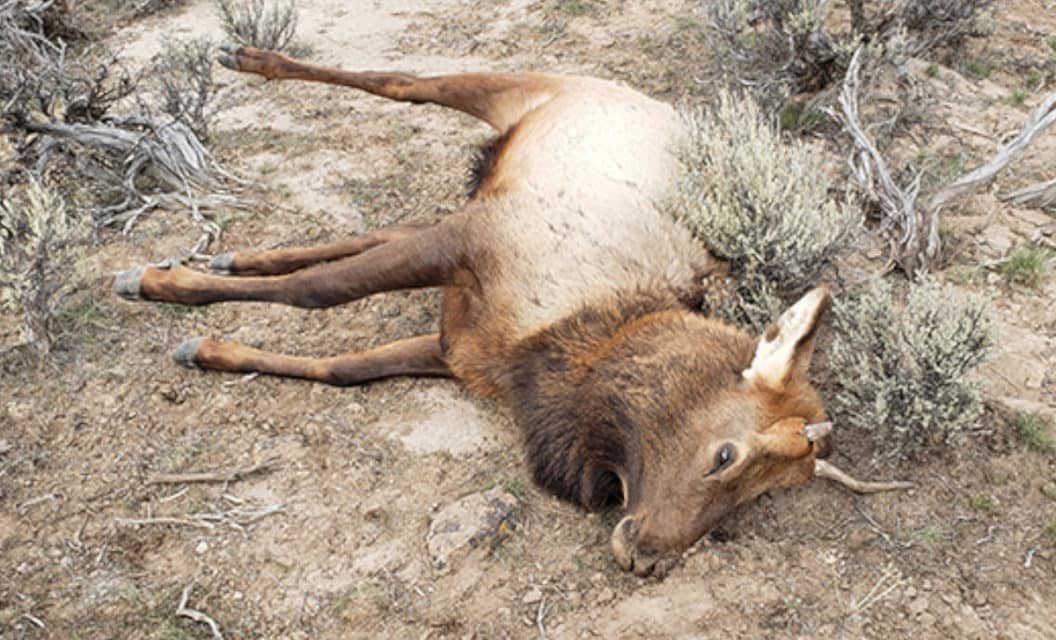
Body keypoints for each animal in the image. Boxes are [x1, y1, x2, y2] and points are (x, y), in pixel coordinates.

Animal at [111, 43, 912, 578]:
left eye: (761, 499)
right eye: (726, 456)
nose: (649, 556)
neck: (566, 347)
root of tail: (658, 103)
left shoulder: (458, 345)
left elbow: (343, 367)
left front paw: (206, 344)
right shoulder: (472, 241)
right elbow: (320, 293)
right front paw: (157, 285)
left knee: (381, 223)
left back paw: (236, 256)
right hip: (517, 92)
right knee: (402, 81)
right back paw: (244, 58)